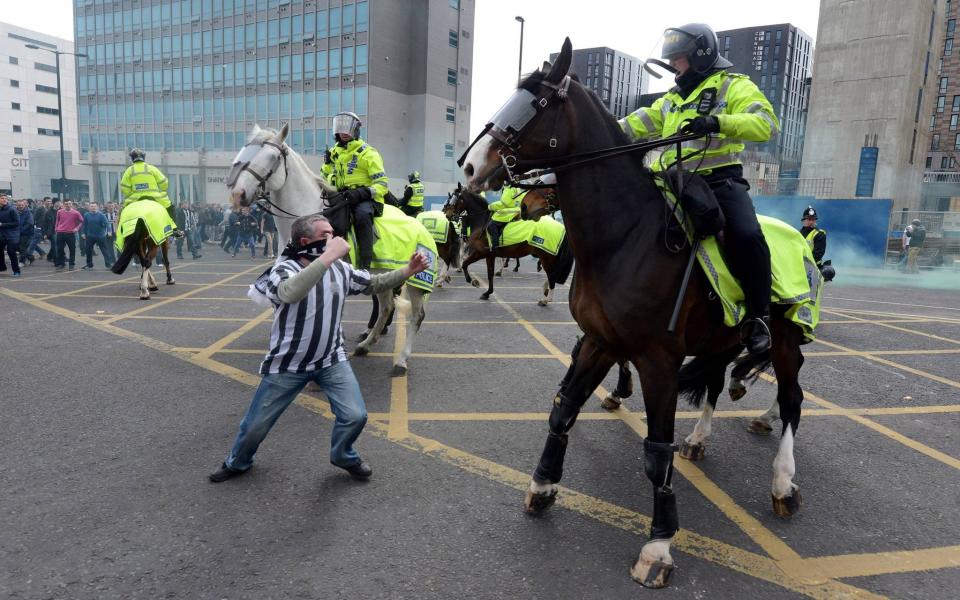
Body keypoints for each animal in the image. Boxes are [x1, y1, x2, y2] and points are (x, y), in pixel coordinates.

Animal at [228, 123, 428, 376]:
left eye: (273, 157)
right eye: (246, 151)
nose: (238, 194)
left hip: (416, 282)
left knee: (416, 315)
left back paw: (401, 360)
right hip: (383, 273)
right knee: (386, 307)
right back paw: (366, 344)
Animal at [462, 39, 808, 588]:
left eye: (538, 103)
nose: (471, 168)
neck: (625, 237)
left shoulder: (658, 359)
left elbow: (655, 449)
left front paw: (659, 545)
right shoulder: (600, 342)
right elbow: (563, 411)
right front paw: (542, 486)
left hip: (785, 340)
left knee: (792, 400)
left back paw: (782, 483)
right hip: (720, 339)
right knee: (716, 383)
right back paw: (701, 437)